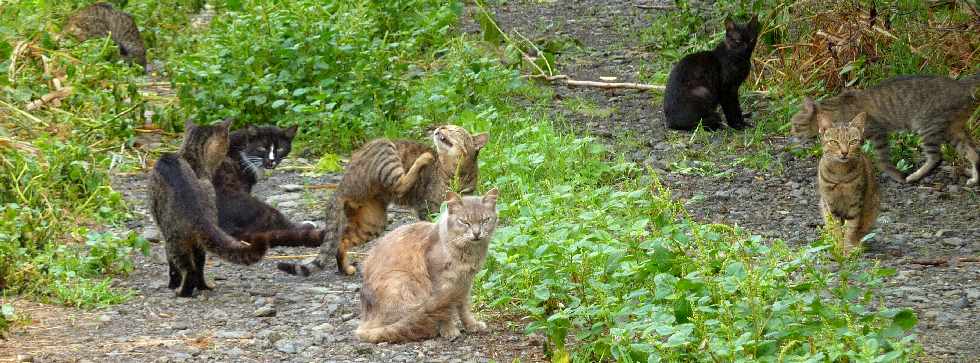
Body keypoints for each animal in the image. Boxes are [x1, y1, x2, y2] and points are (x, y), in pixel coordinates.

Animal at [147, 119, 268, 298]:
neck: (192, 157)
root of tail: (198, 214)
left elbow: (172, 268)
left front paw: (172, 284)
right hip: (200, 240)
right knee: (199, 266)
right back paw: (204, 287)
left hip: (174, 239)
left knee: (188, 269)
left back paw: (181, 292)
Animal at [276, 125, 490, 276]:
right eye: (445, 125)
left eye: (453, 129)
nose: (439, 128)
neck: (457, 173)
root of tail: (342, 183)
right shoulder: (428, 209)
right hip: (385, 149)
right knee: (401, 183)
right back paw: (424, 158)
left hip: (372, 222)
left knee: (342, 241)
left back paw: (346, 269)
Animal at [354, 189, 498, 346]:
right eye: (464, 222)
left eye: (485, 220)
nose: (476, 233)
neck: (468, 252)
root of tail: (364, 323)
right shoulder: (442, 283)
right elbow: (447, 312)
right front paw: (449, 330)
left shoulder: (465, 283)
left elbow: (464, 308)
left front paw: (472, 325)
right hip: (402, 282)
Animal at [788, 75, 980, 186]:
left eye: (795, 125)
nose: (791, 134)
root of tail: (961, 85)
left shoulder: (877, 133)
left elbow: (882, 159)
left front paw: (894, 174)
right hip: (953, 130)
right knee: (974, 153)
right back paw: (974, 179)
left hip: (928, 126)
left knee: (936, 157)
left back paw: (914, 176)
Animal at [812, 114, 880, 253]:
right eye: (834, 142)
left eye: (852, 142)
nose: (844, 152)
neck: (840, 174)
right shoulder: (831, 204)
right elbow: (837, 229)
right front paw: (839, 248)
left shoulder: (855, 202)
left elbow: (850, 229)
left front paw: (847, 250)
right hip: (823, 205)